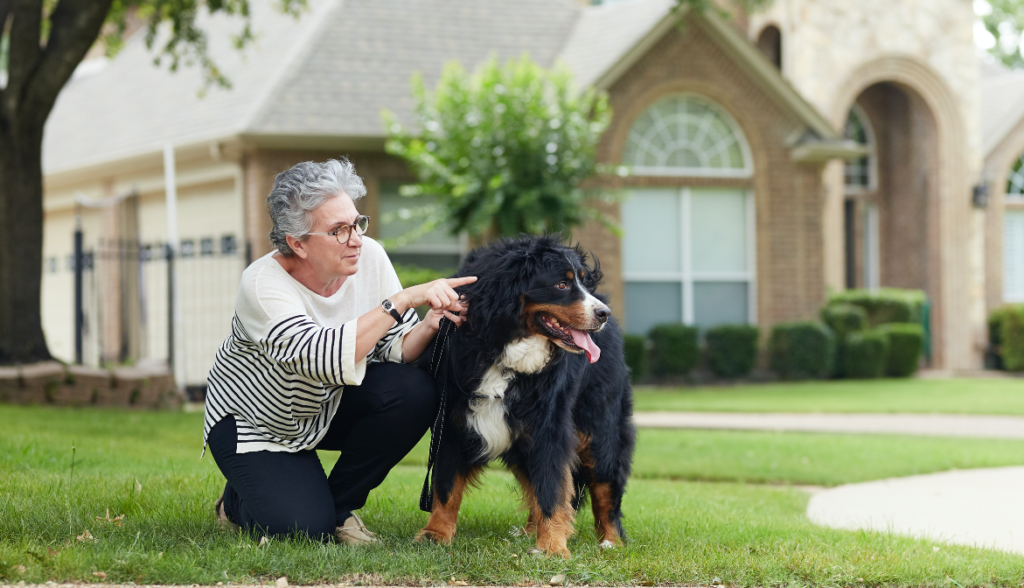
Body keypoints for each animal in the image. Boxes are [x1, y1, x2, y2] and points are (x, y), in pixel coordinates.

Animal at [411, 232, 634, 561]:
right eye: (562, 284)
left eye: (582, 282)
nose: (602, 314)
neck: (506, 346)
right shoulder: (451, 417)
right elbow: (445, 483)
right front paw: (435, 534)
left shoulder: (549, 424)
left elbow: (552, 487)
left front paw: (553, 547)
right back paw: (530, 531)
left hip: (600, 429)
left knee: (605, 487)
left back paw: (611, 542)